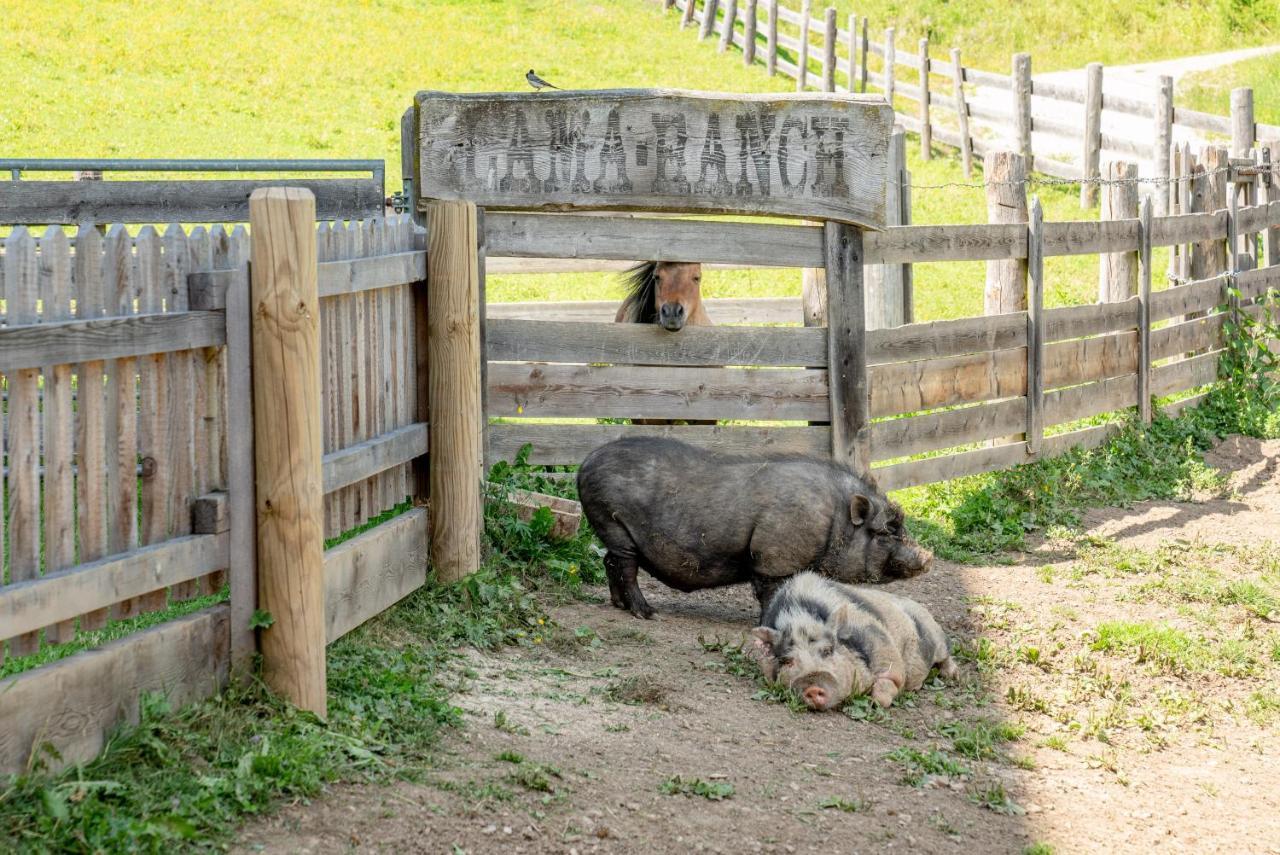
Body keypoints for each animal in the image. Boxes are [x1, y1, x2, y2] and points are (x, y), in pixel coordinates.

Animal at [578, 437, 931, 616]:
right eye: (887, 530)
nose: (928, 557)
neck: (837, 521)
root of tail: (585, 462)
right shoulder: (772, 558)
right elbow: (770, 592)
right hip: (612, 518)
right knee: (626, 567)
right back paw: (648, 613)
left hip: (614, 530)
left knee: (610, 561)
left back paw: (619, 605)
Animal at [747, 573, 952, 706]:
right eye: (786, 661)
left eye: (828, 650)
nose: (812, 686)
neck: (801, 620)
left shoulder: (882, 647)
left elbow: (889, 682)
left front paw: (873, 702)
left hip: (936, 637)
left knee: (946, 656)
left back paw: (951, 675)